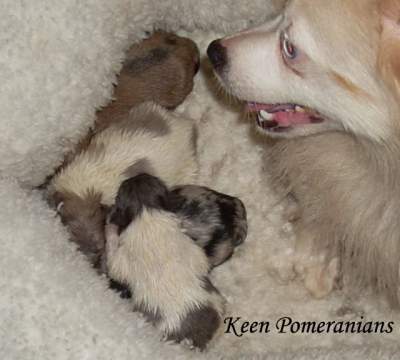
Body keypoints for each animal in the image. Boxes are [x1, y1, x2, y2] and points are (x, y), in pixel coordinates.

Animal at [106, 174, 225, 348]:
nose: (137, 174)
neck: (147, 212)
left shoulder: (122, 257)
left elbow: (115, 267)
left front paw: (110, 227)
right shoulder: (191, 246)